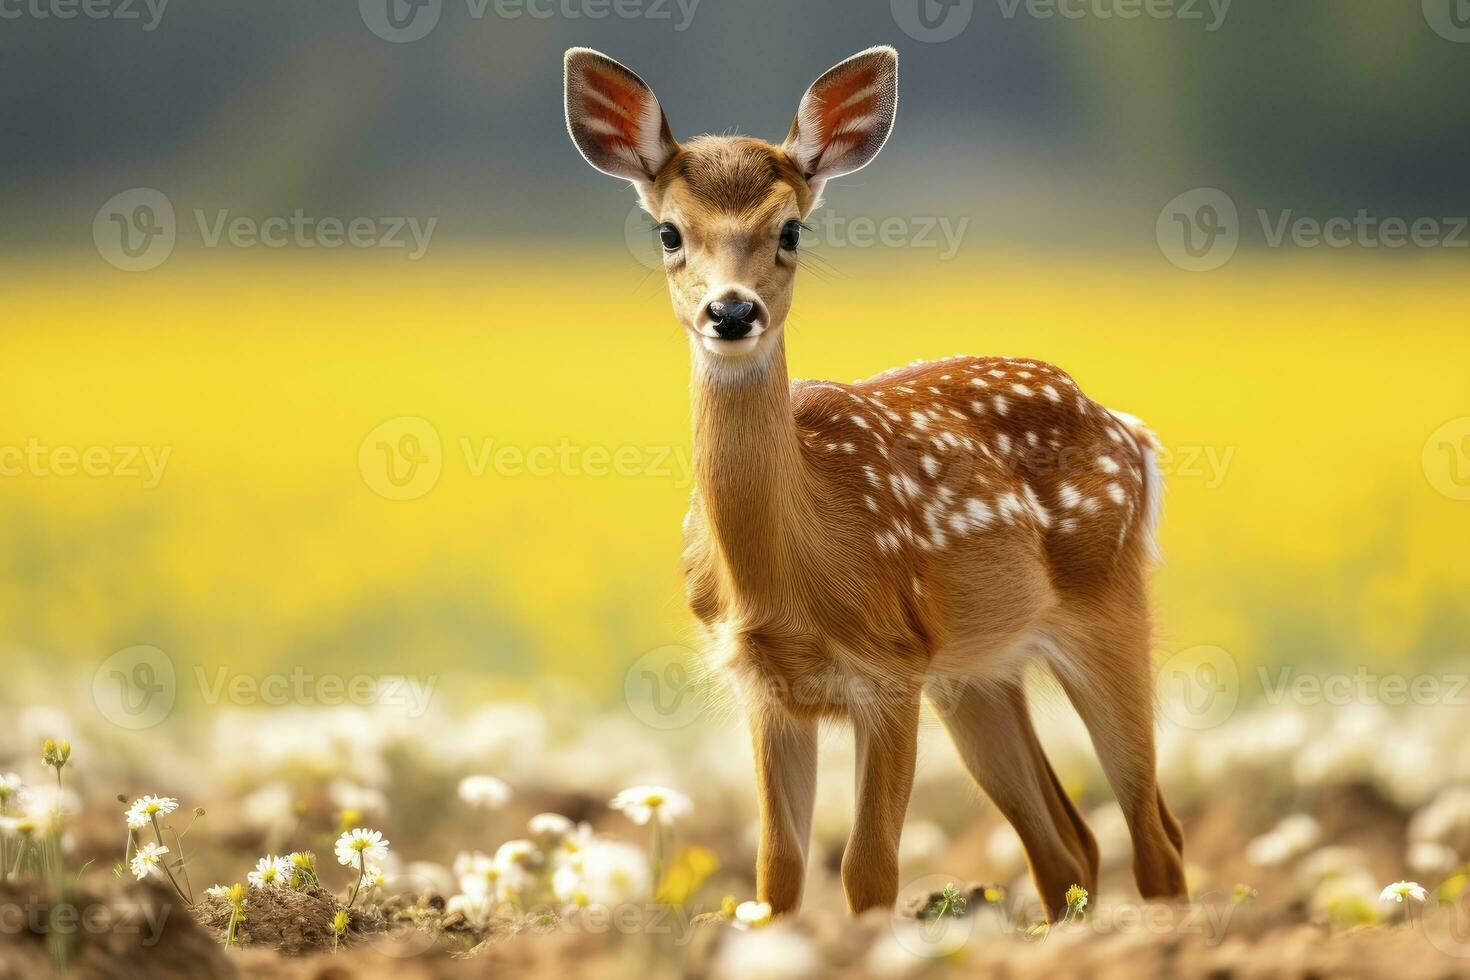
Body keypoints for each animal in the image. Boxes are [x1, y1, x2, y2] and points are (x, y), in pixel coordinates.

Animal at [567, 44, 1187, 922]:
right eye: (668, 232)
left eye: (790, 228)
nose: (732, 312)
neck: (799, 567)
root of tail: (1130, 431)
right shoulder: (767, 688)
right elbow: (777, 871)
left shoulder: (892, 667)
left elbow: (869, 871)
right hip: (977, 674)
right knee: (1069, 844)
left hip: (1108, 605)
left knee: (1155, 835)